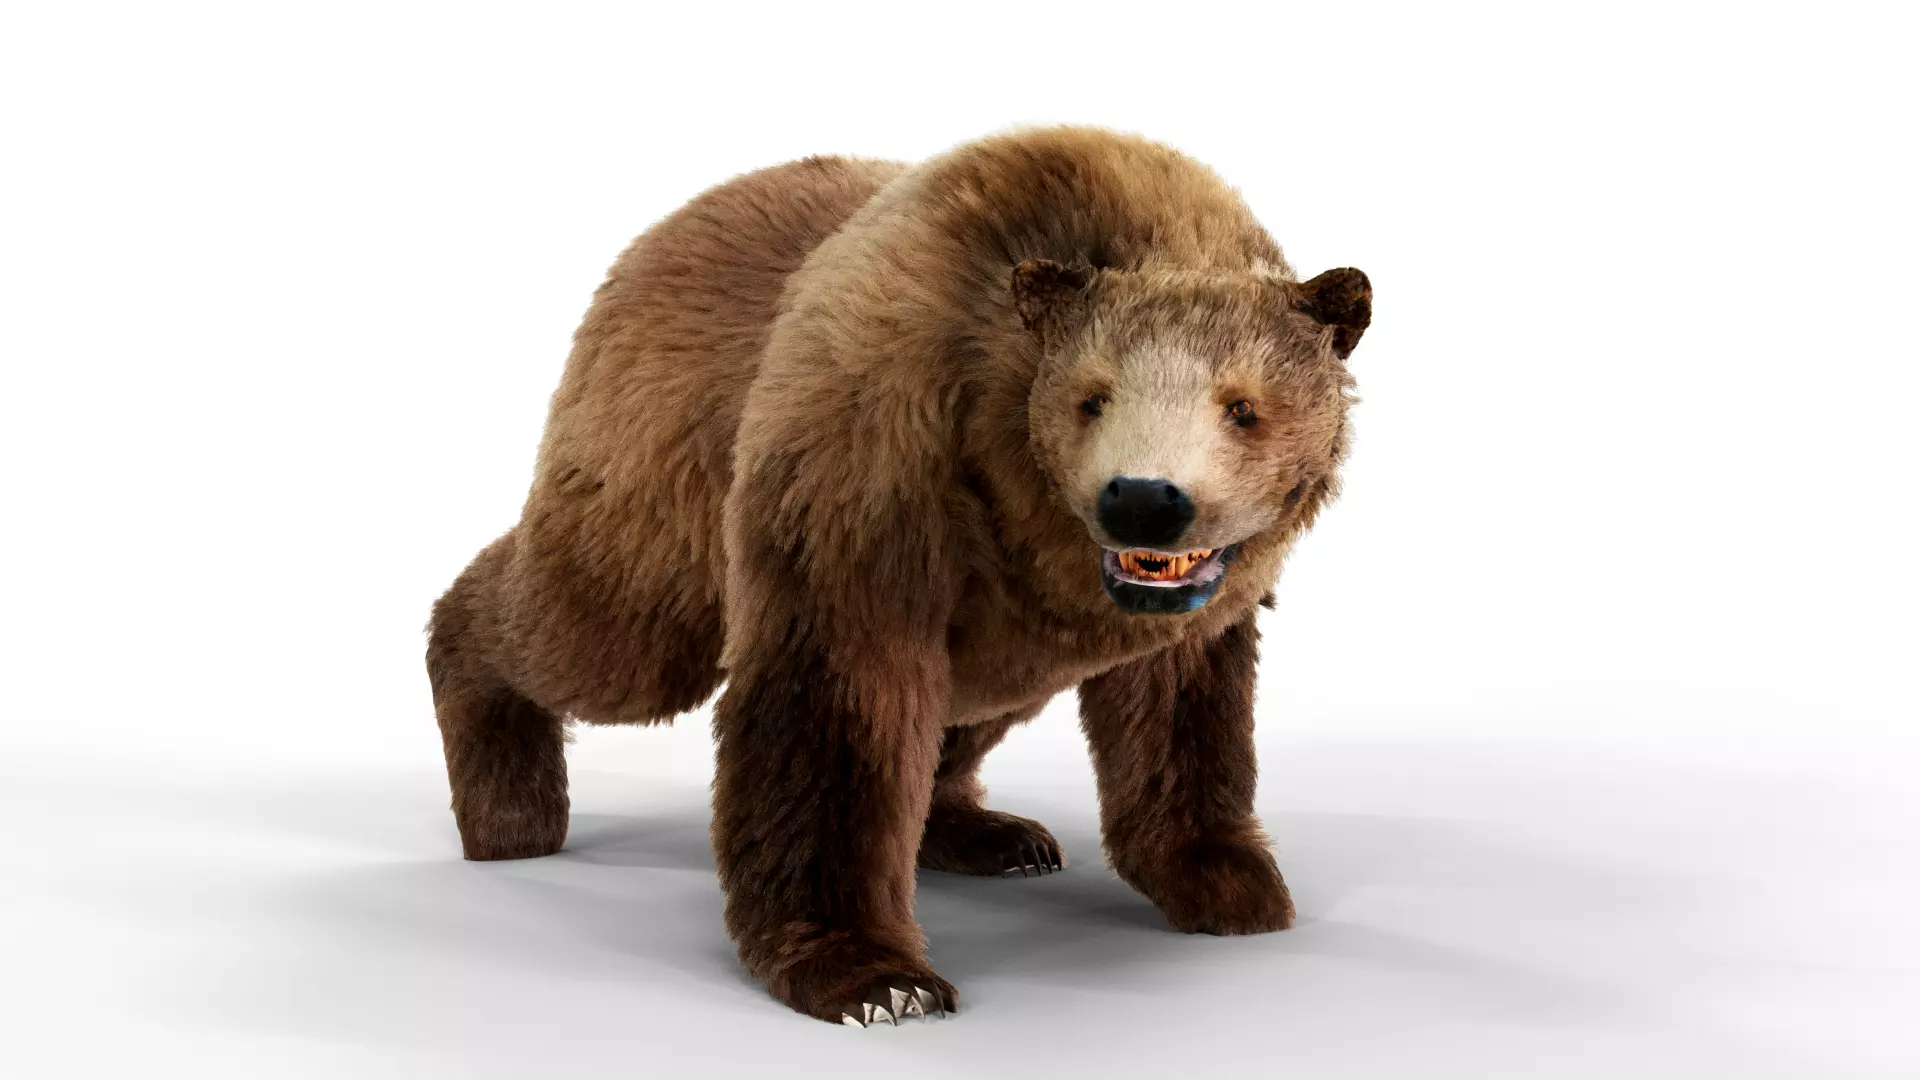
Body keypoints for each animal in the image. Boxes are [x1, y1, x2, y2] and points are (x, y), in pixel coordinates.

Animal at [425, 125, 1371, 1026]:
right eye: (1092, 396)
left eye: (1242, 405)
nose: (1145, 500)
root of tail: (658, 231)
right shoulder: (879, 452)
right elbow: (842, 694)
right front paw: (876, 979)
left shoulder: (1171, 603)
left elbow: (1179, 707)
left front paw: (1231, 882)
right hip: (666, 453)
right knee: (603, 631)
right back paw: (503, 796)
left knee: (972, 700)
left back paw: (993, 834)